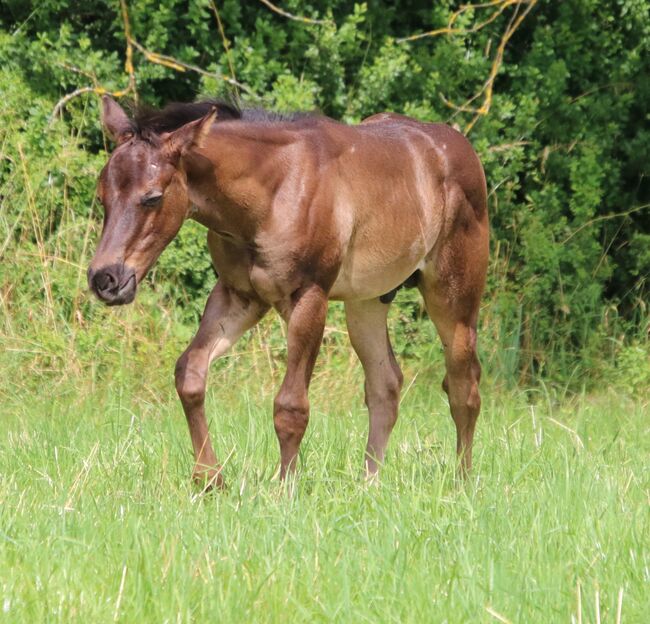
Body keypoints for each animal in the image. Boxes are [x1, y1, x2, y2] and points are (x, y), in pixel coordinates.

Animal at [88, 96, 488, 488]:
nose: (105, 278)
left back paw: (462, 482)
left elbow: (291, 406)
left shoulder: (308, 297)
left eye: (152, 198)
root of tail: (461, 147)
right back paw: (368, 485)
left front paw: (285, 488)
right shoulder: (238, 296)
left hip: (454, 299)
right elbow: (190, 374)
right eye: (102, 195)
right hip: (368, 302)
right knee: (385, 384)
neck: (273, 192)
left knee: (463, 387)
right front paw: (210, 479)